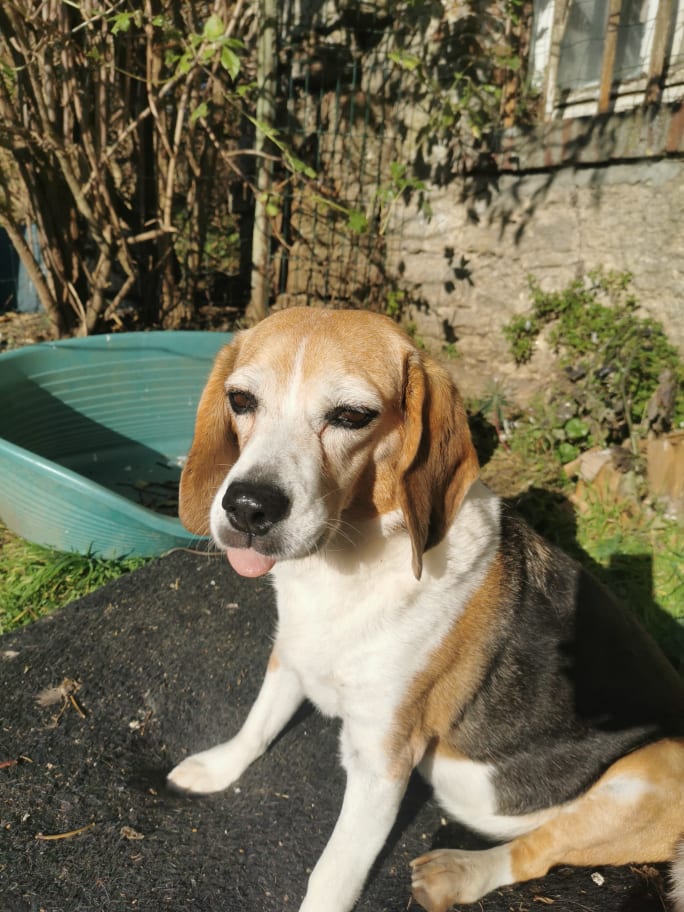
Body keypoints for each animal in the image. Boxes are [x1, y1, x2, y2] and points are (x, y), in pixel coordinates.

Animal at [170, 308, 684, 912]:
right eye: (241, 400)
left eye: (352, 416)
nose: (248, 506)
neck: (351, 564)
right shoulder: (292, 652)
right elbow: (258, 723)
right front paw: (218, 766)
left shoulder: (381, 763)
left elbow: (331, 874)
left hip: (654, 772)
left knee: (537, 851)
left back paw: (457, 872)